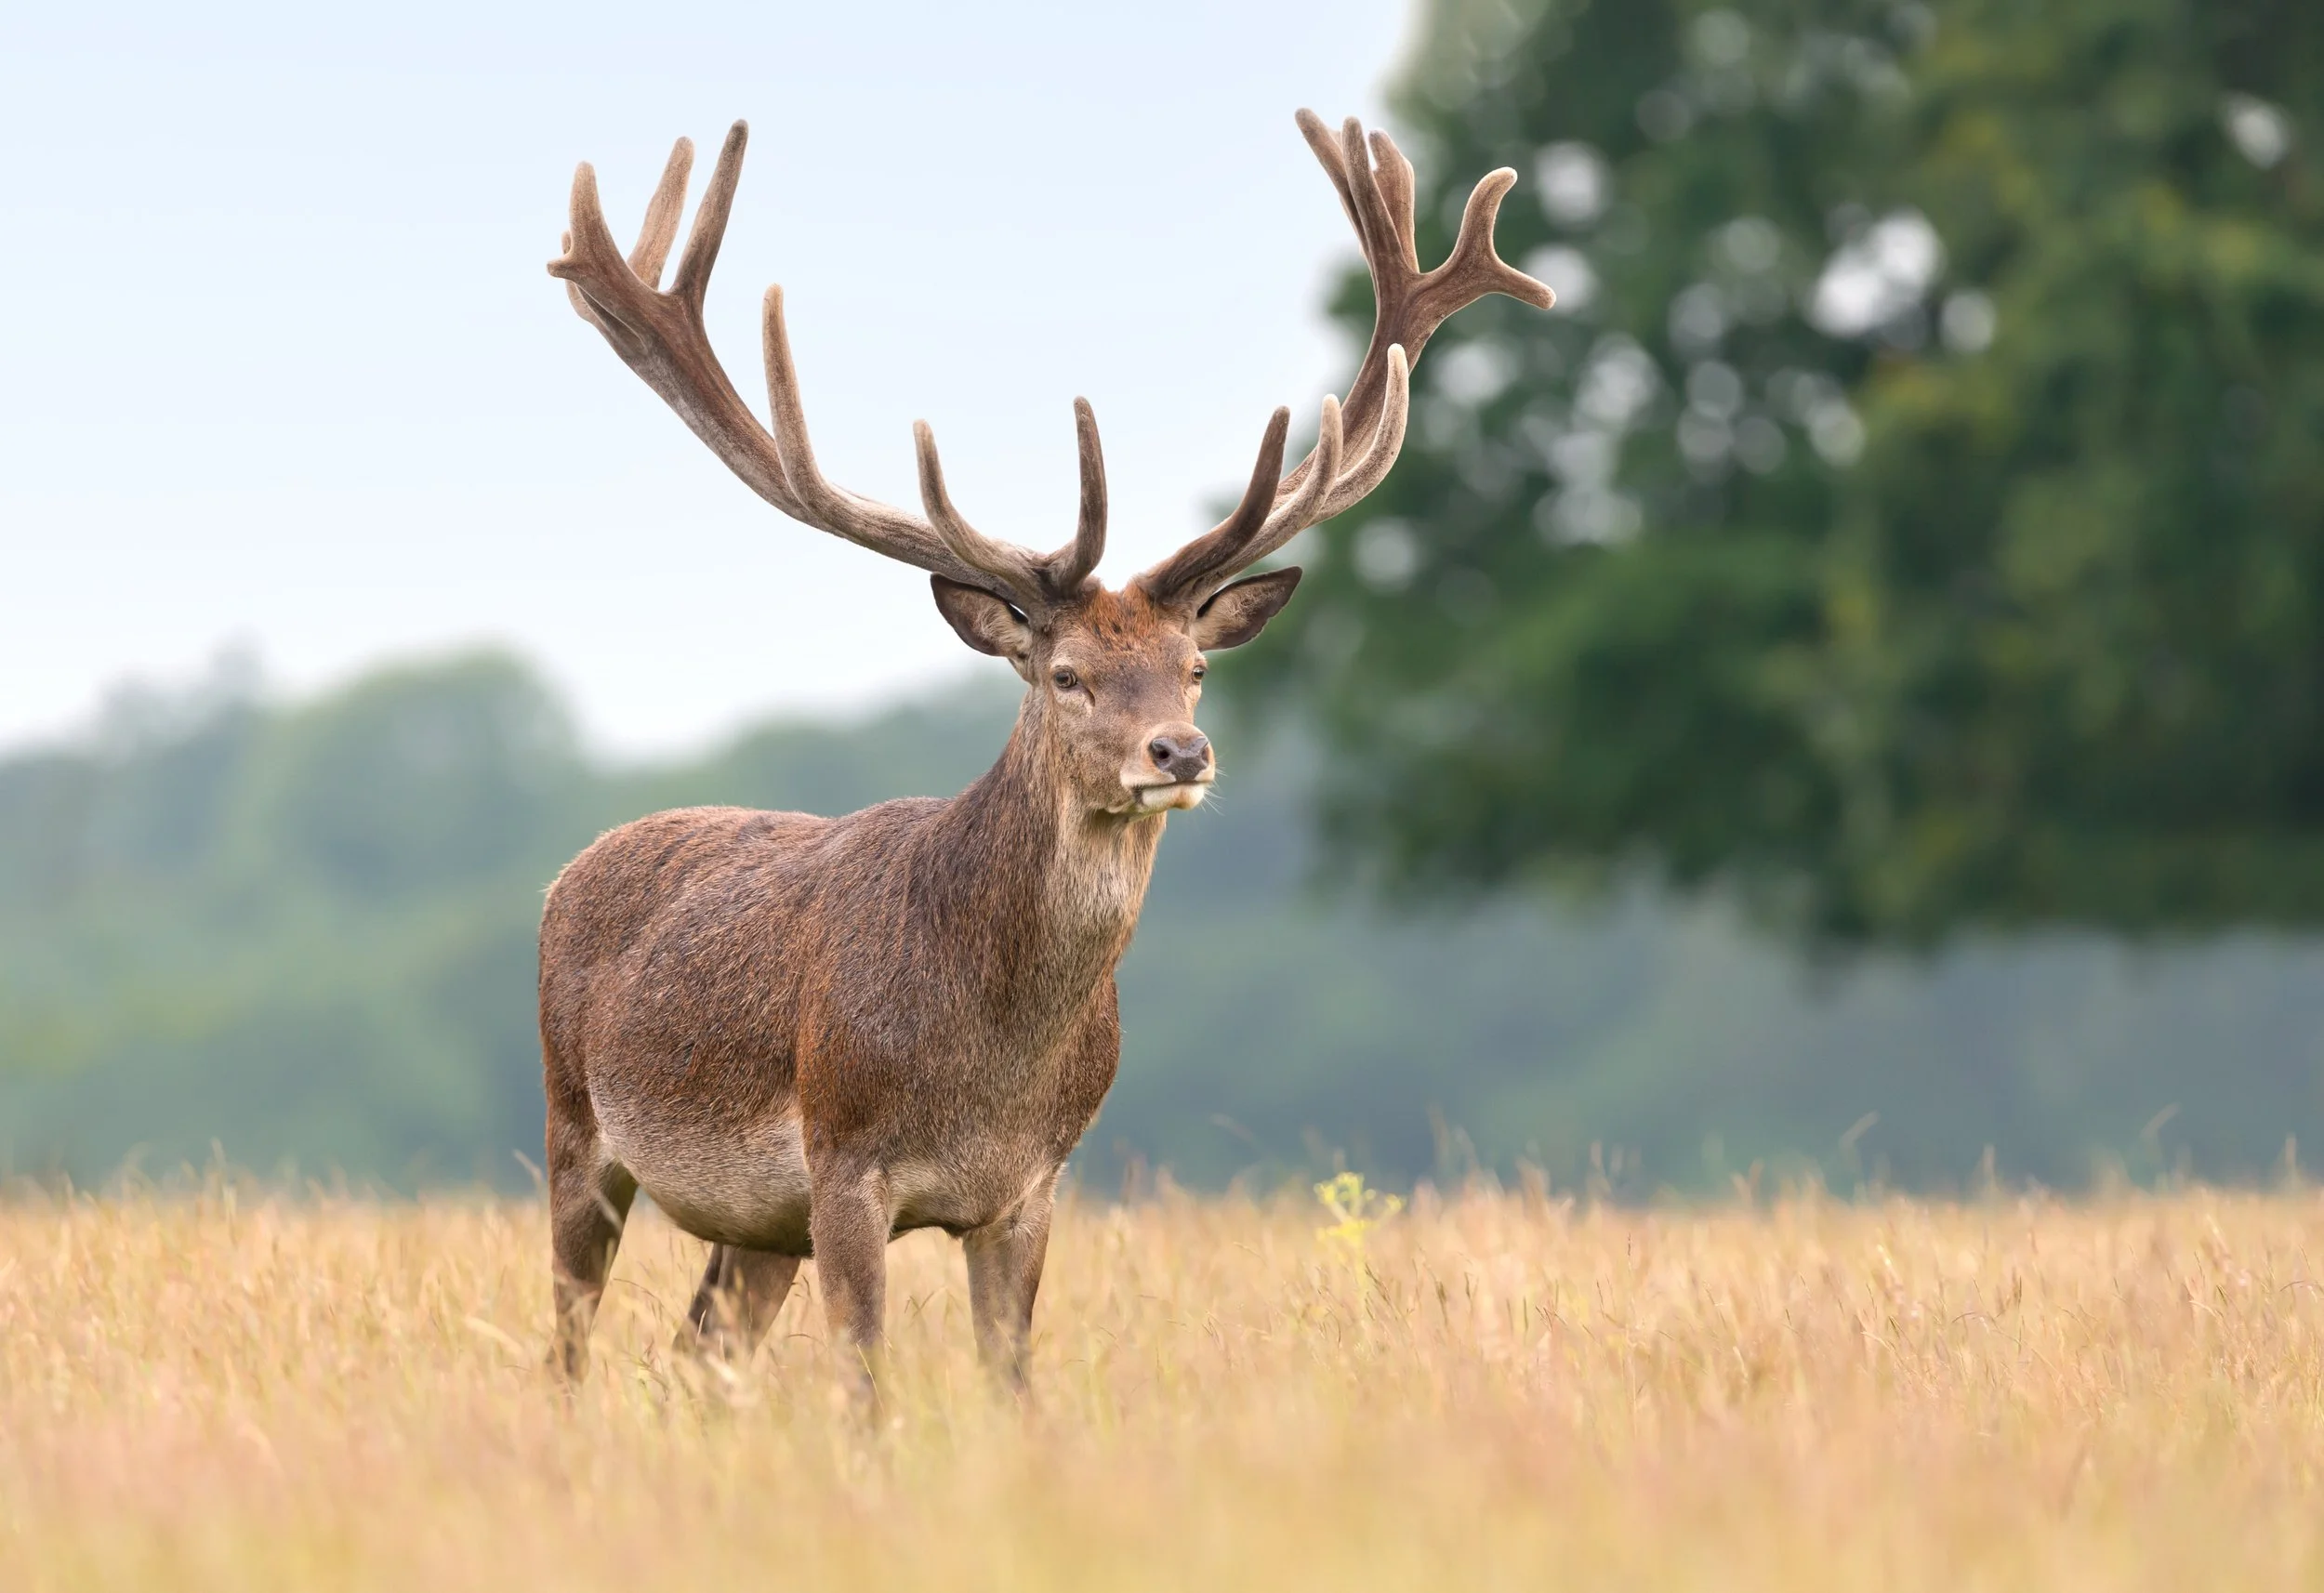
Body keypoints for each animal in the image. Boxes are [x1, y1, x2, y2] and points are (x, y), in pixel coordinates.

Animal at [538, 109, 1551, 1395]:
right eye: (1065, 675)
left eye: (1194, 666)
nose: (1181, 752)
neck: (990, 1069)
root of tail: (571, 868)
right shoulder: (844, 1159)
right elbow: (863, 1386)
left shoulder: (1030, 1187)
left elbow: (1013, 1383)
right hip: (577, 1127)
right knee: (569, 1342)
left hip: (753, 1226)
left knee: (697, 1353)